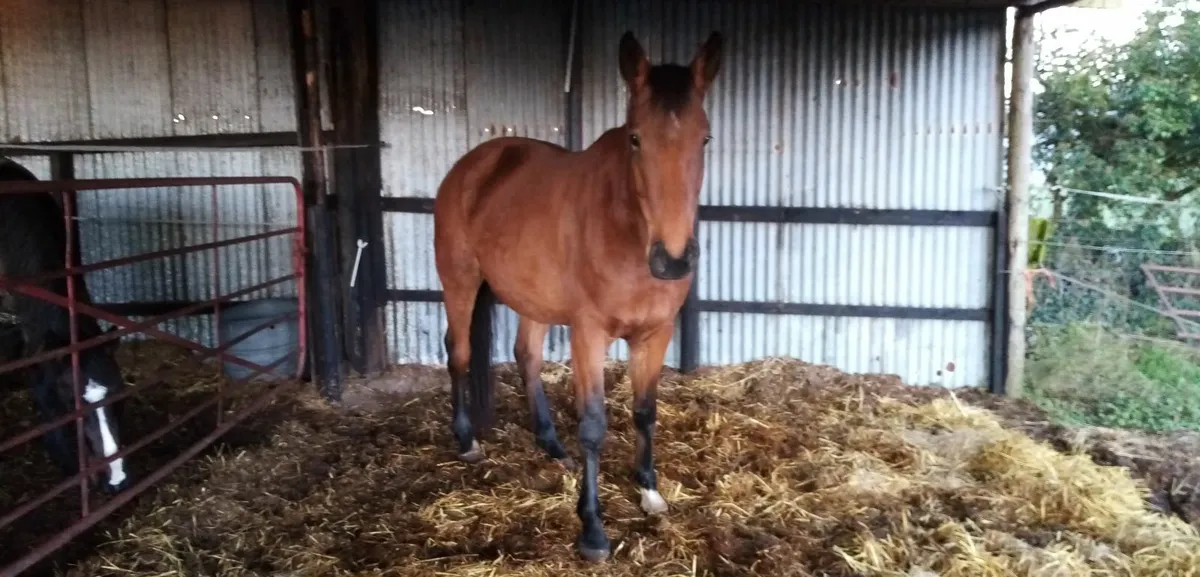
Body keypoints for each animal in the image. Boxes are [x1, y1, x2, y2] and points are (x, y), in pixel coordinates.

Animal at [433, 30, 723, 562]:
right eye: (635, 139)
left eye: (705, 138)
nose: (671, 261)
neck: (628, 230)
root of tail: (474, 163)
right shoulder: (589, 335)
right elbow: (593, 426)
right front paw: (592, 530)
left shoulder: (656, 333)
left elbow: (645, 412)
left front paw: (649, 489)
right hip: (460, 281)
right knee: (459, 353)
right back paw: (466, 441)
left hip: (532, 297)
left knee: (525, 354)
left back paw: (551, 445)